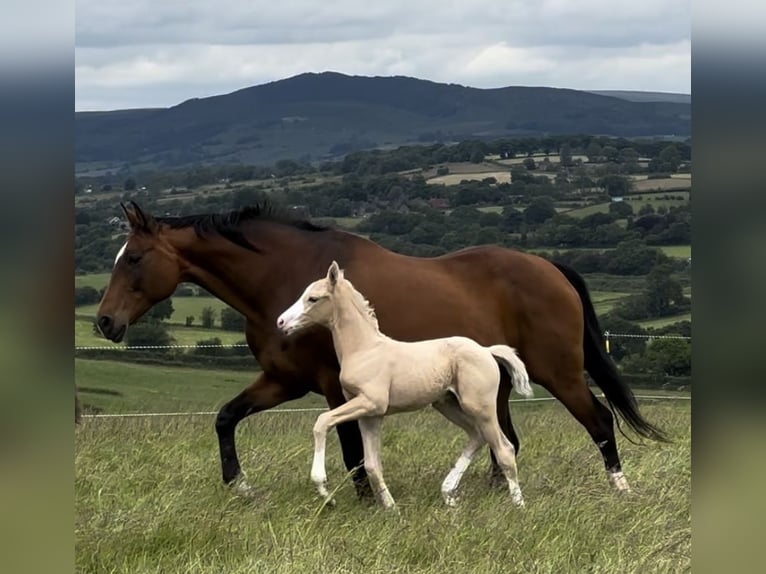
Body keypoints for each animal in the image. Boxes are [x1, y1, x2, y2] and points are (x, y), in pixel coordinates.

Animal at [276, 260, 536, 508]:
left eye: (313, 298)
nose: (281, 322)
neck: (364, 350)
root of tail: (486, 350)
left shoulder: (371, 403)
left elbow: (322, 422)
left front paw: (325, 492)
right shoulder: (369, 415)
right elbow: (372, 465)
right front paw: (392, 509)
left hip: (481, 407)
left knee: (504, 449)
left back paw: (518, 505)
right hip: (448, 404)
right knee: (477, 436)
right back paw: (448, 494)